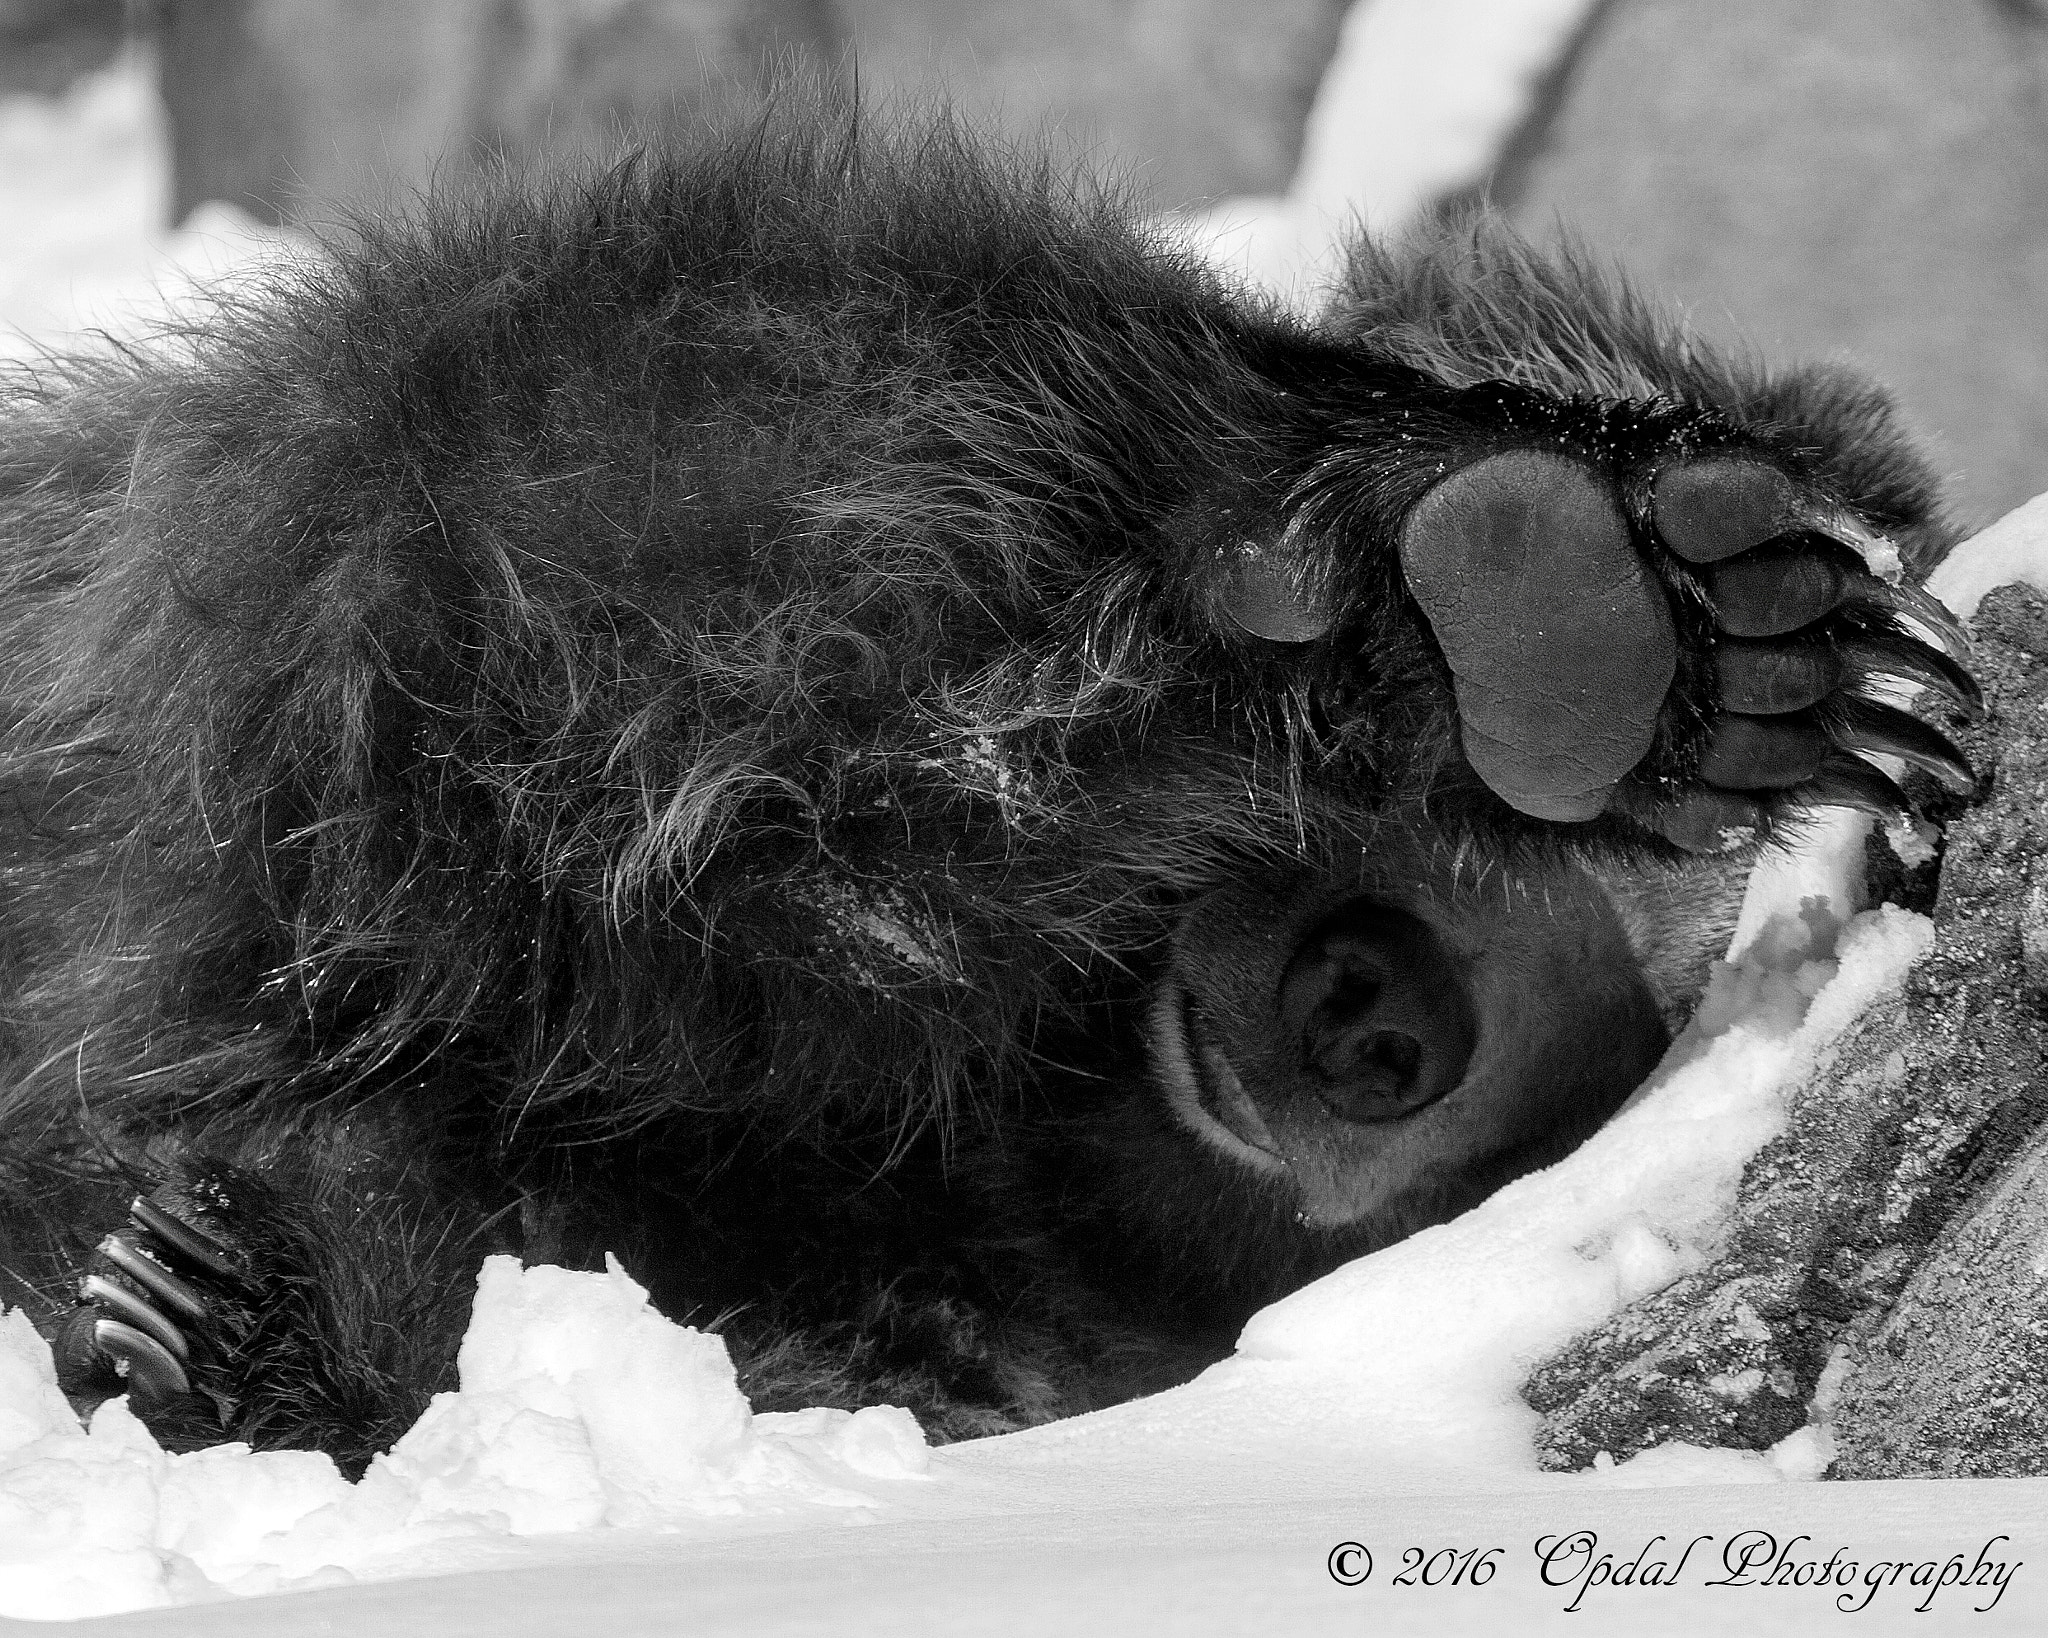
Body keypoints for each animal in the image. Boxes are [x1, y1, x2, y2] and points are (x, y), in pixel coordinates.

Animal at [0, 105, 1978, 1473]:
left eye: (1627, 1022)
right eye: (1616, 908)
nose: (1377, 1005)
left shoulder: (928, 1305)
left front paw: (234, 1314)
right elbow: (703, 511)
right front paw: (1556, 592)